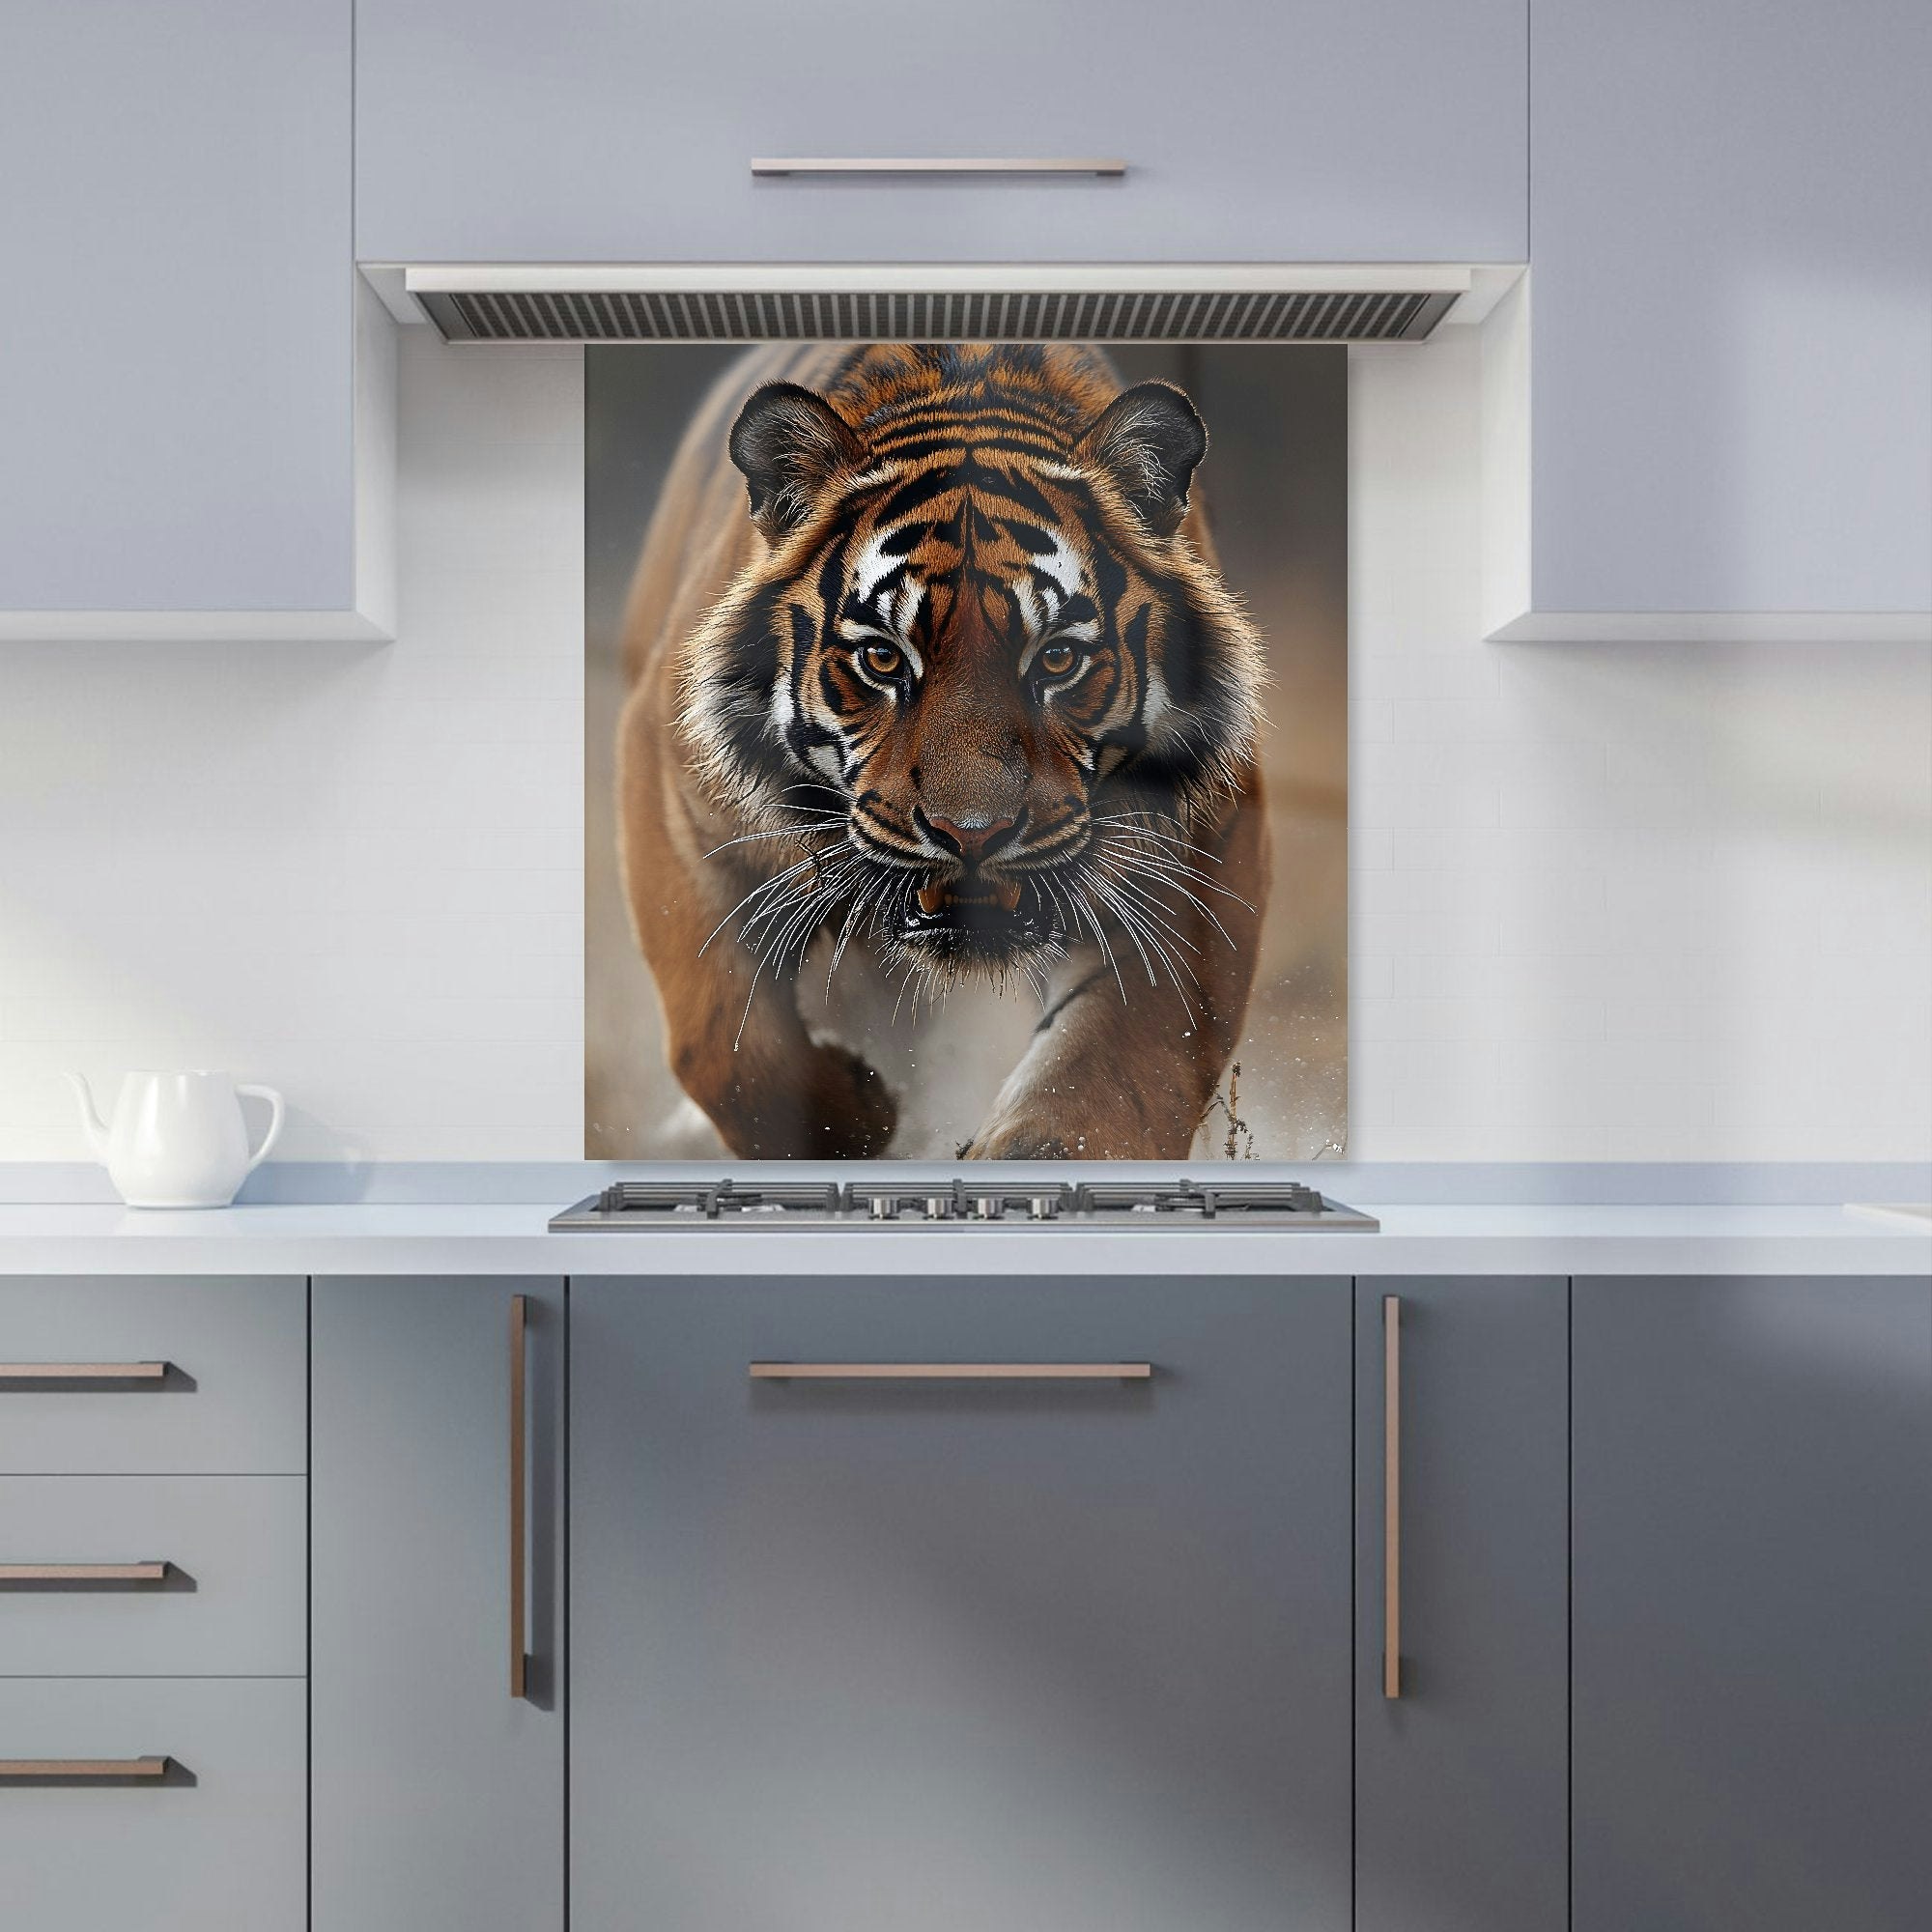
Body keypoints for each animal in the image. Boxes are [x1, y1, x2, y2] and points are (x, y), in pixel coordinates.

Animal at [615, 341, 1271, 1159]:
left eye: (1057, 659)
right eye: (883, 659)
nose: (974, 835)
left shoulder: (1199, 846)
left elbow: (1107, 1077)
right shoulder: (676, 798)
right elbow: (727, 1046)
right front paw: (860, 1118)